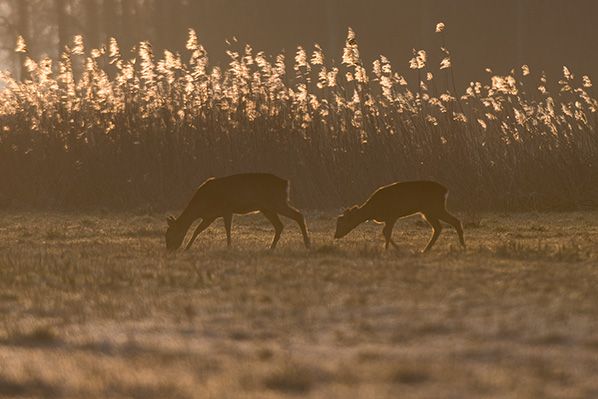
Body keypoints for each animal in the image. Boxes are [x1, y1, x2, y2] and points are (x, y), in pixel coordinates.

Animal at [165, 173, 312, 252]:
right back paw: (271, 247)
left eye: (169, 234)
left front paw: (229, 246)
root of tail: (286, 183)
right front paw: (187, 247)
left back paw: (307, 244)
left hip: (277, 202)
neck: (201, 205)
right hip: (267, 207)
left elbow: (227, 228)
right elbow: (197, 230)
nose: (169, 249)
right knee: (279, 225)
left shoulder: (226, 209)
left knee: (298, 215)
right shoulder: (210, 216)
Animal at [336, 182, 466, 253]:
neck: (372, 210)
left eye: (342, 222)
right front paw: (392, 248)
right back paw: (425, 250)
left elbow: (386, 232)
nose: (335, 235)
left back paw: (462, 246)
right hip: (428, 211)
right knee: (439, 227)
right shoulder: (389, 218)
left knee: (454, 221)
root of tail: (445, 190)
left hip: (434, 208)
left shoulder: (392, 215)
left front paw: (388, 249)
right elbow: (385, 232)